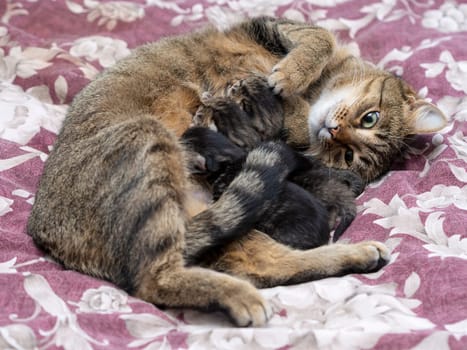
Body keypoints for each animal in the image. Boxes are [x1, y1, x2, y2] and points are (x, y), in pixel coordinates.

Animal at [27, 17, 448, 328]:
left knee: (164, 280)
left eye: (347, 156)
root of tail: (43, 231)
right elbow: (321, 37)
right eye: (369, 118)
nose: (332, 132)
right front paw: (289, 78)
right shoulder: (271, 25)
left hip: (170, 174)